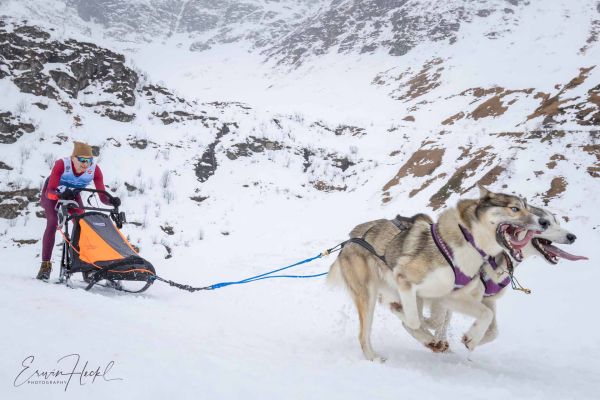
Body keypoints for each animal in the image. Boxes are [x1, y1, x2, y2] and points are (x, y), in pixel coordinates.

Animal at [327, 186, 548, 361]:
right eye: (514, 208)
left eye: (528, 208)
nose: (544, 222)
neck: (468, 244)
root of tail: (350, 239)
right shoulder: (405, 281)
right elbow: (413, 320)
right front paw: (426, 333)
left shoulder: (448, 296)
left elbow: (484, 315)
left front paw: (471, 338)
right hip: (368, 296)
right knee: (365, 333)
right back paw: (374, 356)